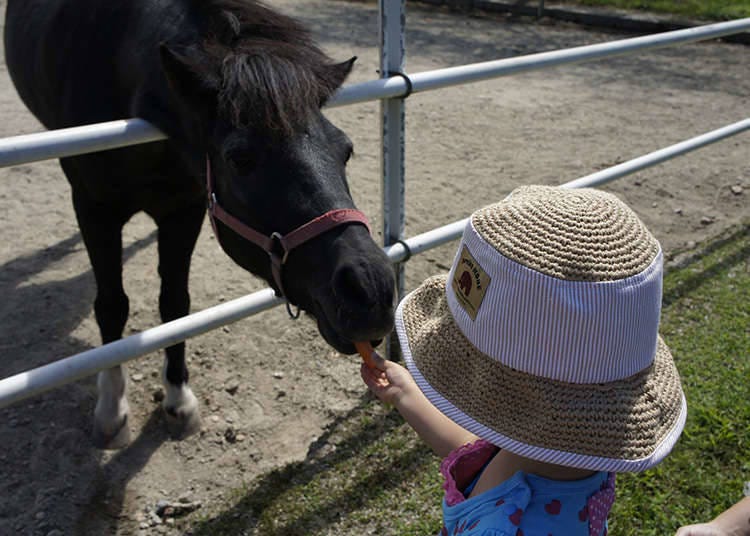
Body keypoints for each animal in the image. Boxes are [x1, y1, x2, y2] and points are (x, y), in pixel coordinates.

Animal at [5, 0, 396, 448]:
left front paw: (178, 400)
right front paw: (112, 411)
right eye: (239, 158)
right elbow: (112, 306)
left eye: (345, 149)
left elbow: (175, 305)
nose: (371, 290)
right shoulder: (94, 209)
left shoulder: (184, 209)